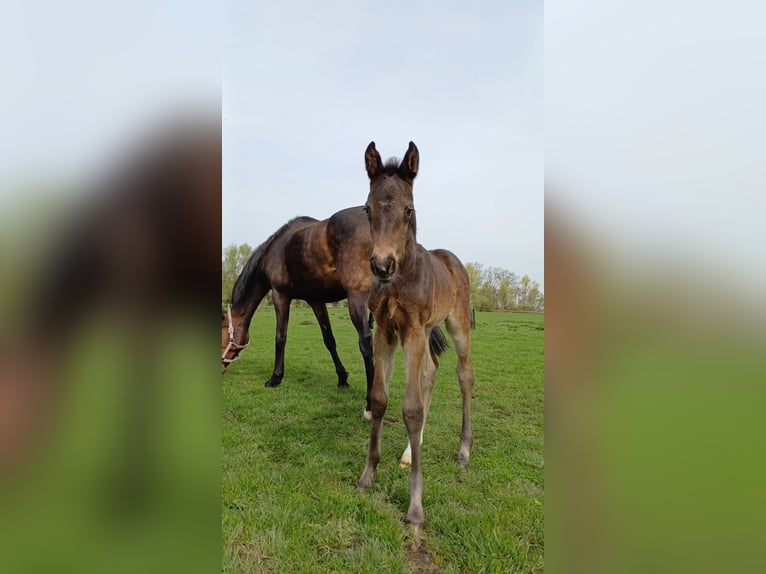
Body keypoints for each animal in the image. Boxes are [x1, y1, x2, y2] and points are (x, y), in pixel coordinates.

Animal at [355, 141, 474, 535]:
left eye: (408, 210)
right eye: (367, 208)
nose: (382, 265)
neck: (399, 280)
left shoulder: (411, 330)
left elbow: (410, 408)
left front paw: (415, 507)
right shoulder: (385, 331)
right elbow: (381, 399)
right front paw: (367, 476)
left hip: (455, 325)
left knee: (463, 375)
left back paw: (464, 453)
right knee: (431, 373)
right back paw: (411, 450)